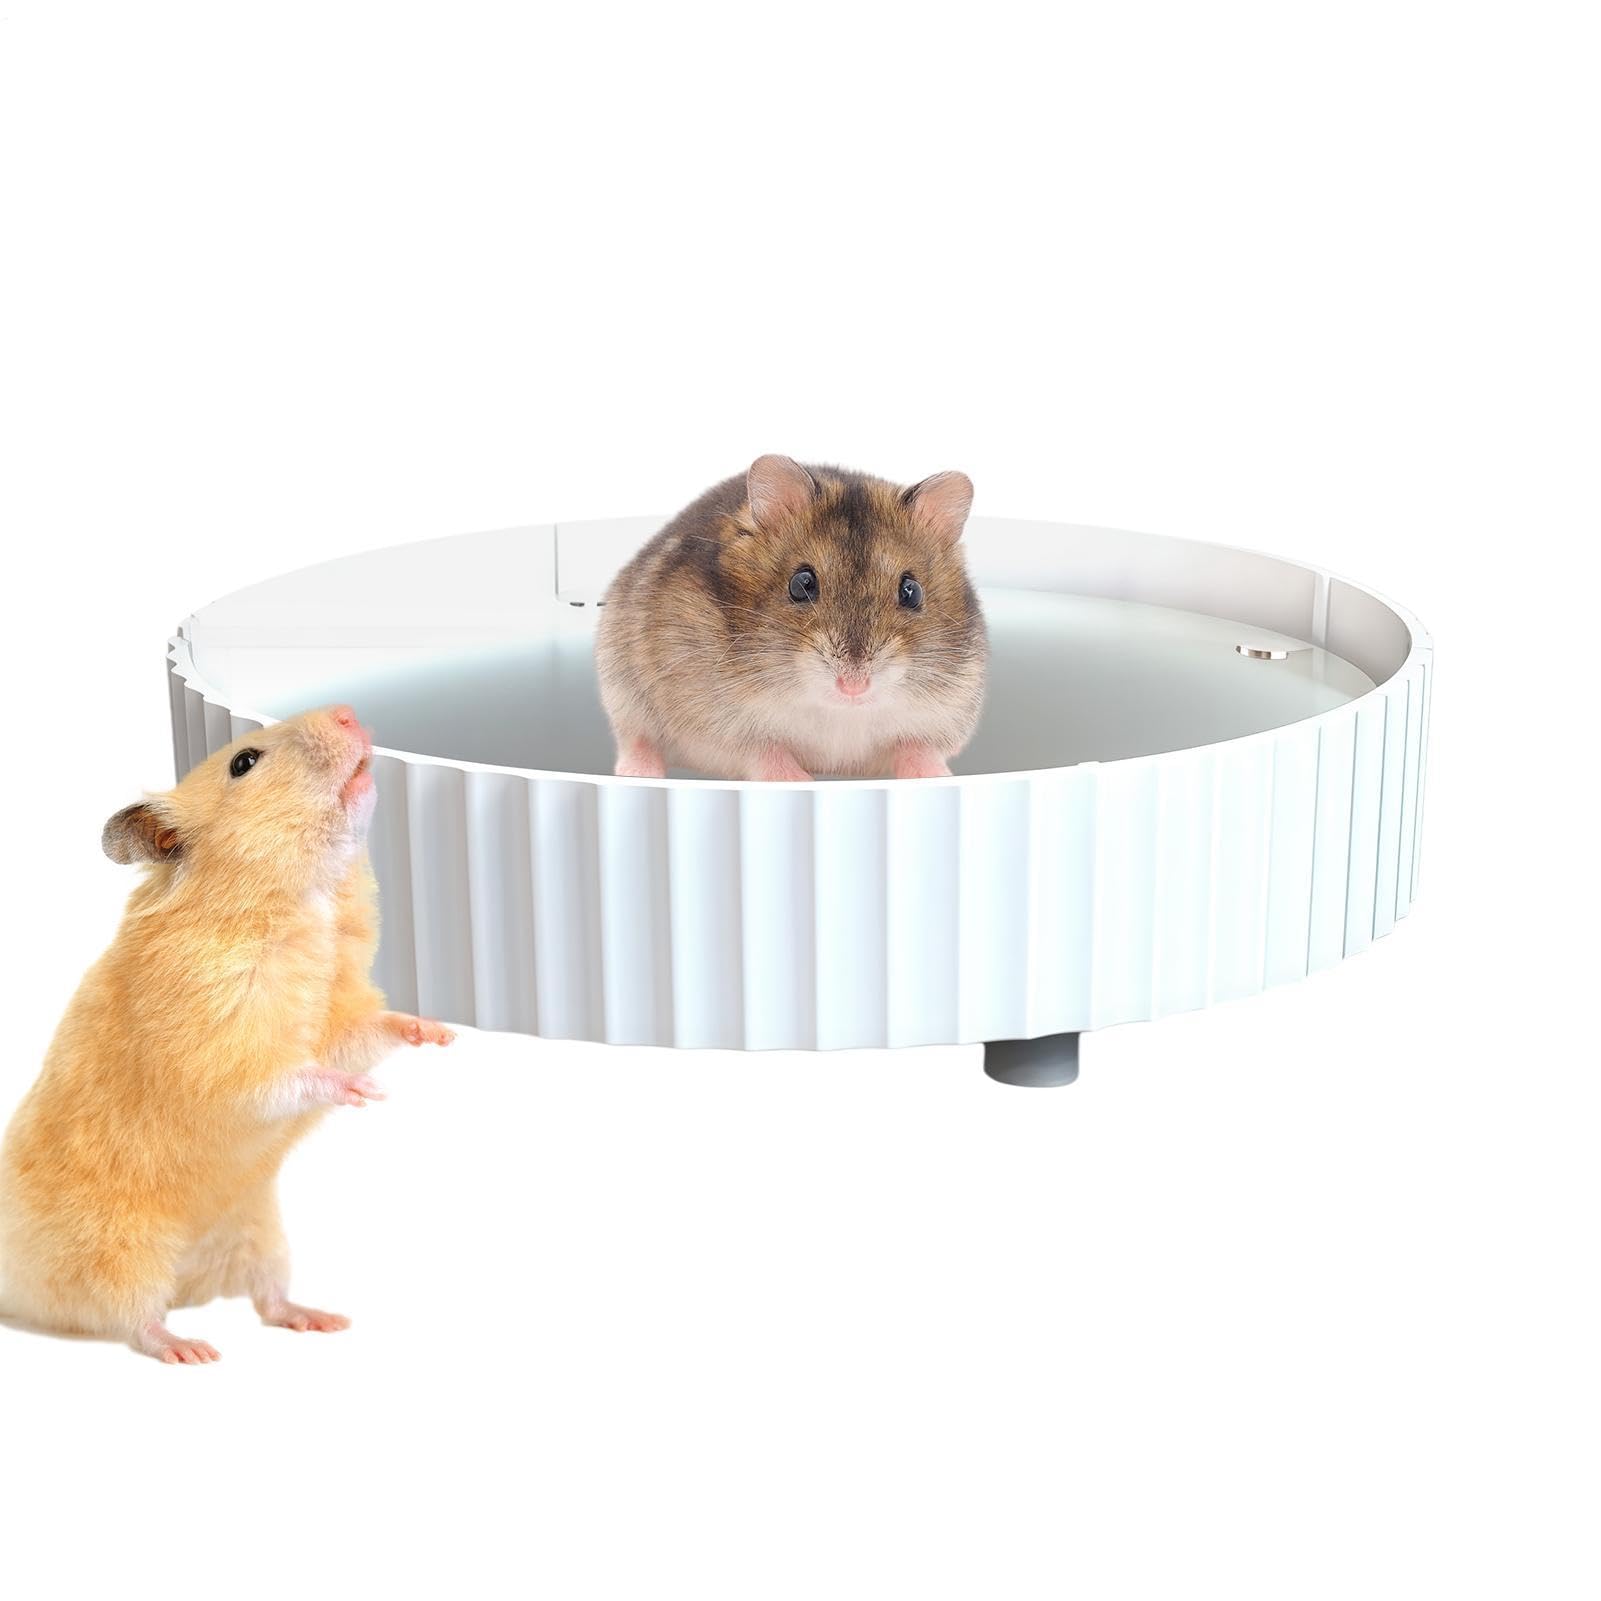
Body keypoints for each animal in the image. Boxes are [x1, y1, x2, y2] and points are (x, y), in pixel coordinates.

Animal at [0, 705, 453, 1364]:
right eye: (244, 761)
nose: (349, 714)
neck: (305, 899)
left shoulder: (337, 1018)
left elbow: (368, 1032)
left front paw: (437, 1032)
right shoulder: (220, 1051)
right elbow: (287, 1079)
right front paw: (361, 1094)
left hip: (257, 1227)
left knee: (268, 1299)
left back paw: (319, 1319)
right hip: (118, 1247)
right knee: (134, 1317)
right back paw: (190, 1349)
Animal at [594, 455, 988, 781]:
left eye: (912, 591)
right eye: (801, 584)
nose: (854, 686)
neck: (839, 711)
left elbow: (917, 747)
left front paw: (939, 777)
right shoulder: (722, 727)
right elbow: (766, 751)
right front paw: (801, 781)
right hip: (623, 690)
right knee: (637, 739)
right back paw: (638, 773)